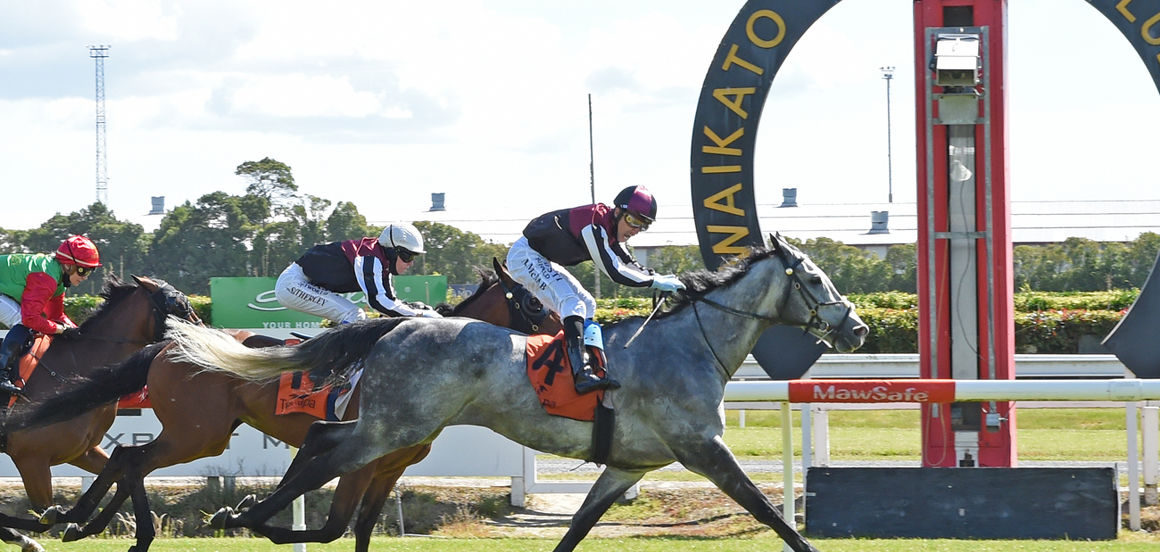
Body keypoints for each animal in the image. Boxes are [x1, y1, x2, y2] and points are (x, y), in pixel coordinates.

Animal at [168, 235, 867, 549]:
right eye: (814, 278)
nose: (857, 326)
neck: (692, 344)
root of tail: (399, 327)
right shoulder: (702, 450)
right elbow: (767, 511)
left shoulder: (627, 465)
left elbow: (577, 529)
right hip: (393, 428)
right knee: (323, 455)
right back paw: (243, 517)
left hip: (394, 428)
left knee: (319, 437)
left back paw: (253, 516)